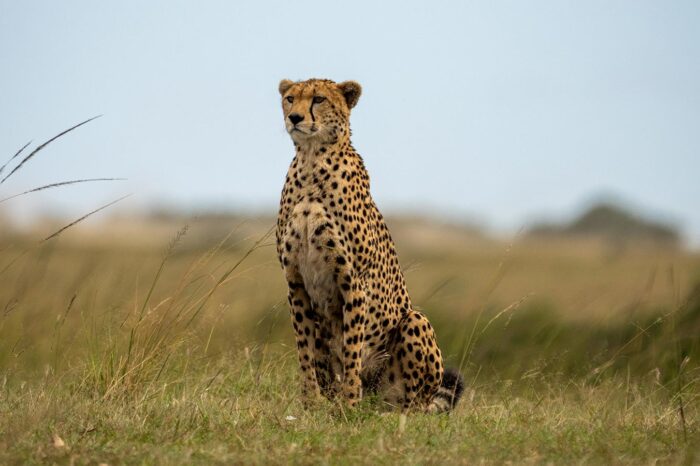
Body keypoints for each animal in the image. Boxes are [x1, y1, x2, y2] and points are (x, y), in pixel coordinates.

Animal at [276, 78, 464, 412]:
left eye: (319, 99)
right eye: (290, 98)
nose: (295, 118)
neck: (311, 162)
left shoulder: (352, 280)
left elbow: (352, 348)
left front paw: (349, 404)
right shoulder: (295, 281)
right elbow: (304, 349)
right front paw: (310, 403)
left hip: (414, 321)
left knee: (413, 406)